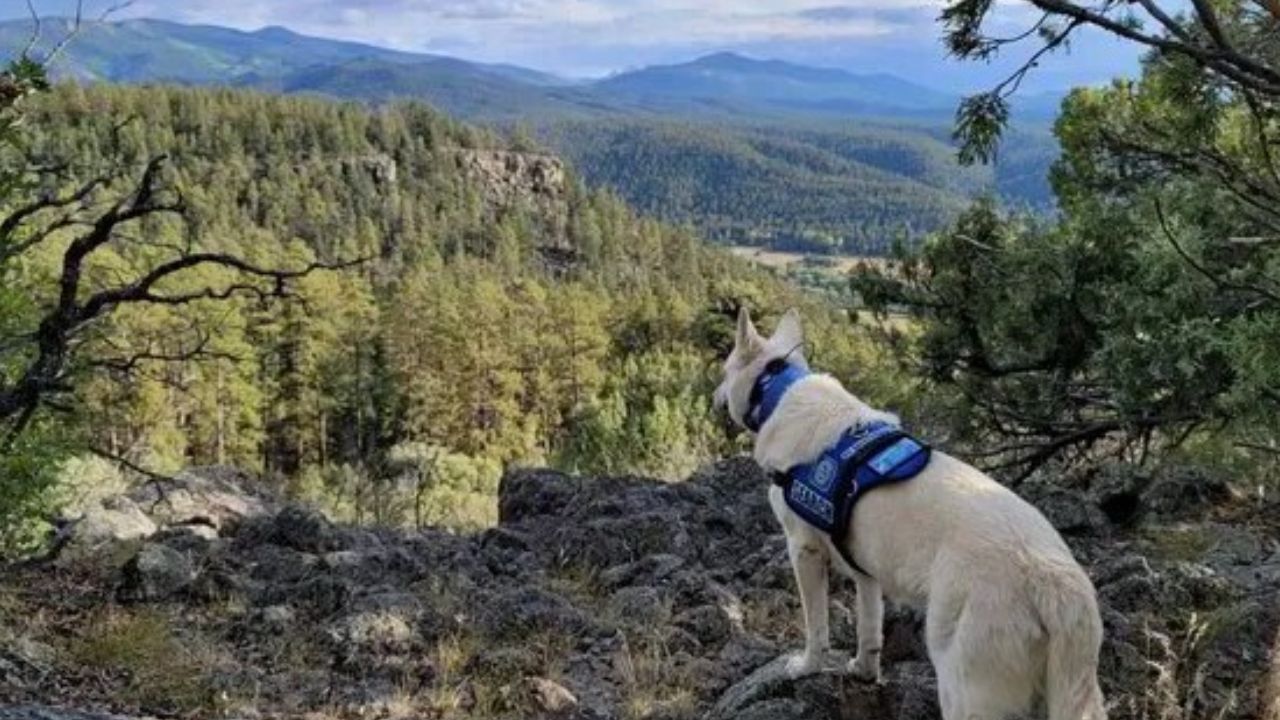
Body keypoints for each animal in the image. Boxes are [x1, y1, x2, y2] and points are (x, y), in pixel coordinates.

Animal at [716, 307, 1105, 717]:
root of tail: (1055, 584)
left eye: (725, 370)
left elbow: (816, 628)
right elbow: (869, 629)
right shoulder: (865, 572)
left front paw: (806, 667)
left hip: (963, 686)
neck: (780, 390)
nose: (714, 396)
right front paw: (864, 671)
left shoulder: (803, 551)